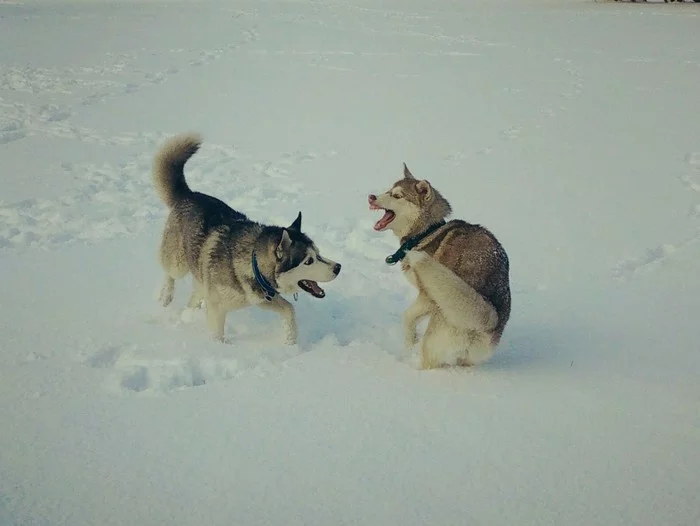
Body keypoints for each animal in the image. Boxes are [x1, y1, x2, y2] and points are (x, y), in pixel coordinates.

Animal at [153, 134, 342, 344]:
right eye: (308, 260)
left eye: (318, 253)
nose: (338, 267)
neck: (252, 262)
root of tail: (189, 194)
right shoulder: (218, 307)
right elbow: (217, 333)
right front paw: (218, 347)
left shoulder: (261, 297)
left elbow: (289, 310)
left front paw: (290, 342)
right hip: (178, 263)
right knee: (170, 274)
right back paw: (166, 298)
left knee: (194, 294)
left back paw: (188, 314)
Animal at [370, 165, 512, 372]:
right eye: (388, 190)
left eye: (397, 196)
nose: (371, 197)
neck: (426, 232)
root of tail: (488, 320)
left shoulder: (427, 296)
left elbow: (408, 317)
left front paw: (410, 343)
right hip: (468, 357)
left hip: (436, 334)